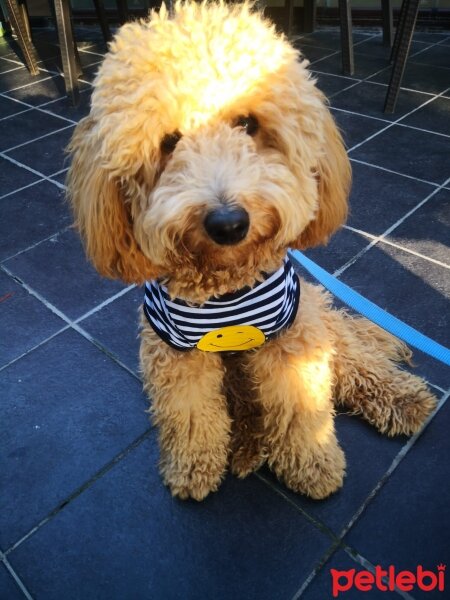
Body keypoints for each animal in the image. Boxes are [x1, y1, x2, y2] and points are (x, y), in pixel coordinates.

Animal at [67, 2, 436, 502]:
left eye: (247, 124)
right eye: (168, 142)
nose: (228, 223)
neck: (227, 284)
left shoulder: (291, 338)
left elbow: (301, 406)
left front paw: (312, 465)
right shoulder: (175, 354)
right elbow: (190, 415)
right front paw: (193, 466)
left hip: (316, 314)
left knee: (354, 355)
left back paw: (402, 397)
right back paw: (246, 442)